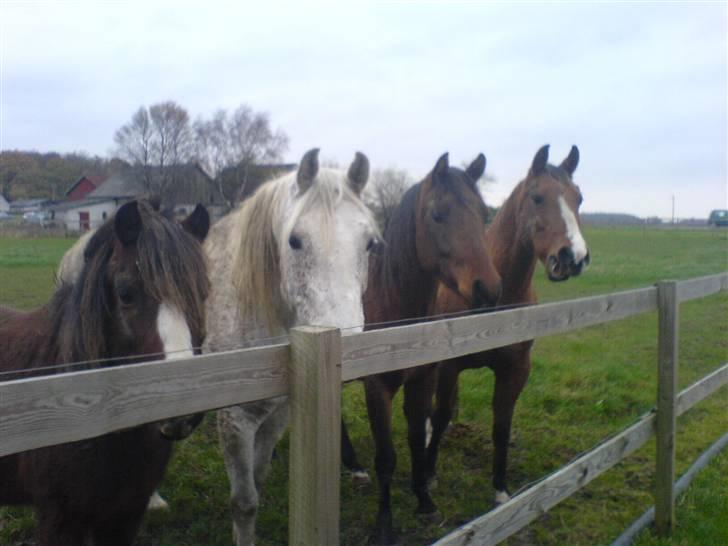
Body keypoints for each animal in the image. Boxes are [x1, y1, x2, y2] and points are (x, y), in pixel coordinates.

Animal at [202, 149, 378, 544]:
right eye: (294, 241)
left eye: (370, 243)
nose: (348, 352)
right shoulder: (235, 421)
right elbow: (244, 502)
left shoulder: (278, 414)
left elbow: (258, 480)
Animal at [362, 151, 504, 540]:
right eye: (438, 214)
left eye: (484, 213)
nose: (488, 289)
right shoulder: (377, 388)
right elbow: (386, 457)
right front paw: (384, 525)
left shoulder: (423, 379)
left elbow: (416, 439)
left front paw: (424, 500)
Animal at [424, 143, 588, 502]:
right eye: (537, 197)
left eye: (579, 198)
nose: (573, 258)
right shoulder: (449, 365)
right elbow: (441, 415)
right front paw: (428, 476)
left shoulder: (516, 369)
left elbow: (502, 425)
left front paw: (500, 490)